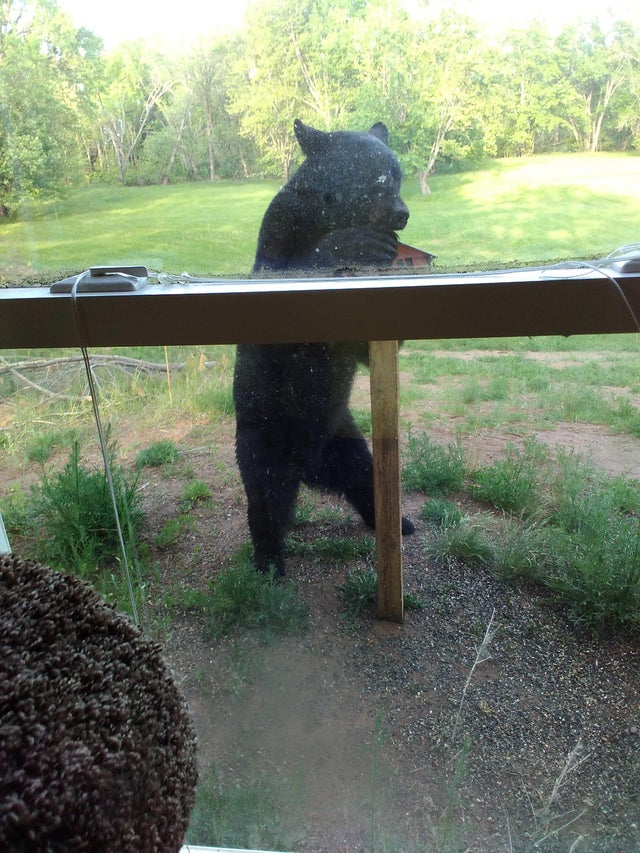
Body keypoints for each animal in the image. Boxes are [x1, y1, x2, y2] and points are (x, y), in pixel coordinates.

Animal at [233, 119, 415, 576]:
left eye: (398, 175)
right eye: (378, 180)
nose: (402, 214)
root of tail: (308, 468)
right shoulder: (281, 231)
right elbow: (291, 268)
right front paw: (362, 242)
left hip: (342, 436)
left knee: (363, 476)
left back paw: (398, 521)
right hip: (264, 436)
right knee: (265, 500)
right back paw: (269, 563)